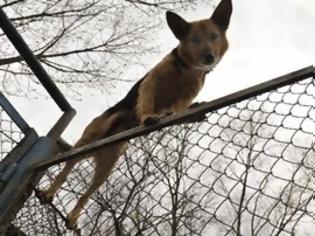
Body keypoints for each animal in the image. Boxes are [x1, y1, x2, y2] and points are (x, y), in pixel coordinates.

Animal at [38, 0, 233, 229]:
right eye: (194, 39)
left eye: (214, 36)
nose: (209, 57)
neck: (186, 69)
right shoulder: (151, 82)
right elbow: (147, 101)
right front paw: (149, 116)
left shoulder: (186, 95)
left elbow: (179, 110)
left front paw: (188, 113)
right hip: (88, 140)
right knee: (66, 170)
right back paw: (49, 192)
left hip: (107, 167)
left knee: (88, 193)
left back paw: (73, 216)